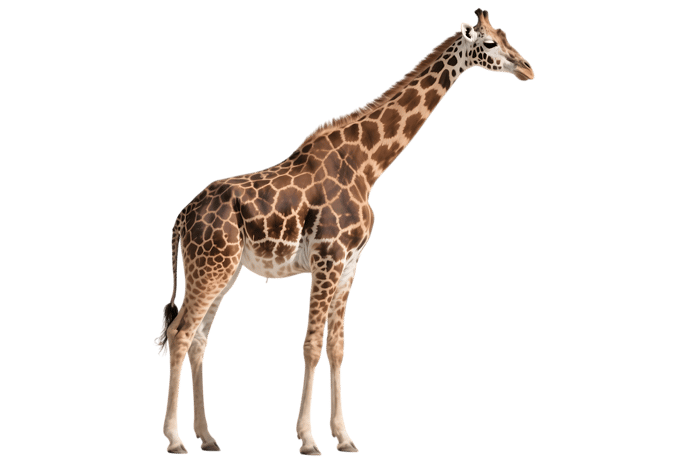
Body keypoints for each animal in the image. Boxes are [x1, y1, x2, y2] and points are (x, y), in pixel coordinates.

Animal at [153, 8, 534, 456]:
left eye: (506, 37)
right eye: (489, 43)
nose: (527, 68)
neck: (368, 165)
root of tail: (182, 215)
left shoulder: (351, 263)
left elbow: (337, 348)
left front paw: (345, 437)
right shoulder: (328, 258)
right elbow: (311, 346)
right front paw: (308, 439)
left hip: (223, 270)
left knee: (198, 340)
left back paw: (208, 437)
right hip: (209, 268)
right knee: (180, 334)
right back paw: (175, 439)